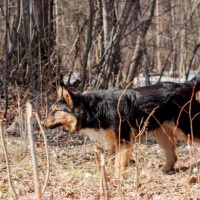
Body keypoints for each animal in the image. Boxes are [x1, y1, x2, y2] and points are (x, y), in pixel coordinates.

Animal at [44, 76, 200, 177]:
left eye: (55, 111)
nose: (43, 124)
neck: (95, 108)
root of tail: (187, 85)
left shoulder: (123, 140)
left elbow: (118, 163)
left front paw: (116, 180)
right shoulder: (114, 141)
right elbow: (111, 160)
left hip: (187, 128)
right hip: (162, 133)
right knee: (172, 156)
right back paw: (164, 171)